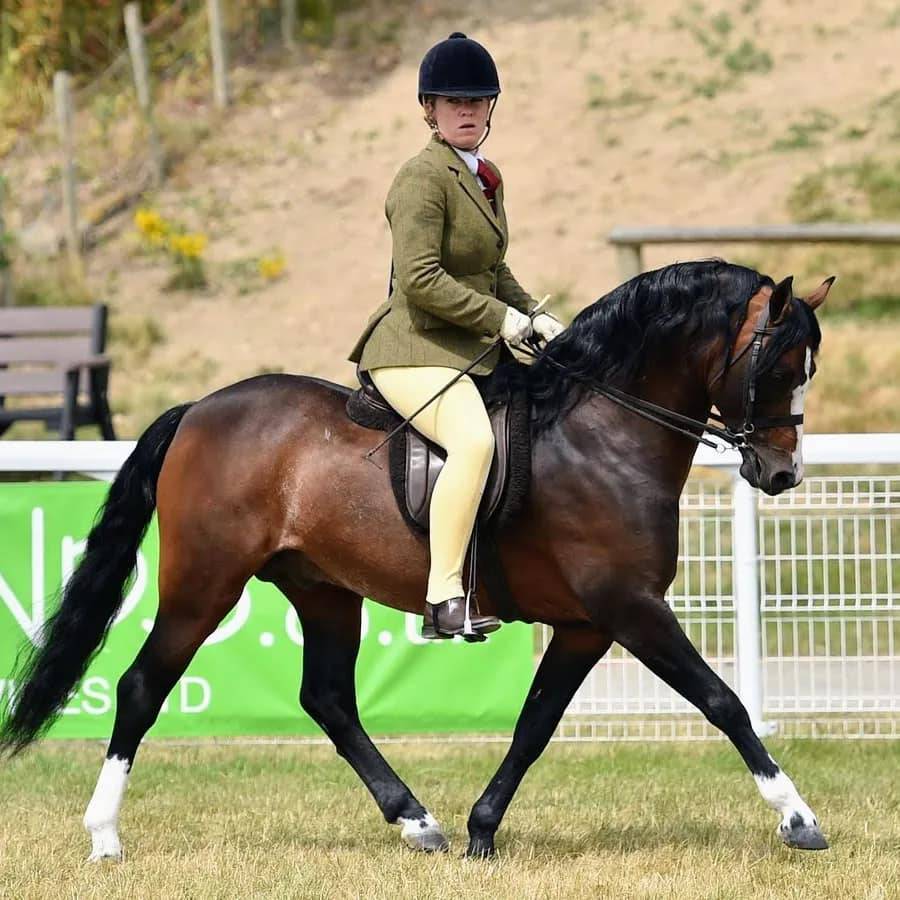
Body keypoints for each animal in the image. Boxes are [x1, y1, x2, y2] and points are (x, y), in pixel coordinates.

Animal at [1, 260, 832, 861]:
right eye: (779, 366)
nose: (782, 474)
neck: (602, 431)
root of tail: (199, 410)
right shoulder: (630, 608)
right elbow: (722, 702)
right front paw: (798, 819)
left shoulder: (587, 625)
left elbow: (535, 724)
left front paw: (482, 829)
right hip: (204, 584)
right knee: (143, 685)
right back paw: (105, 837)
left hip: (323, 590)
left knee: (328, 699)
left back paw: (417, 821)